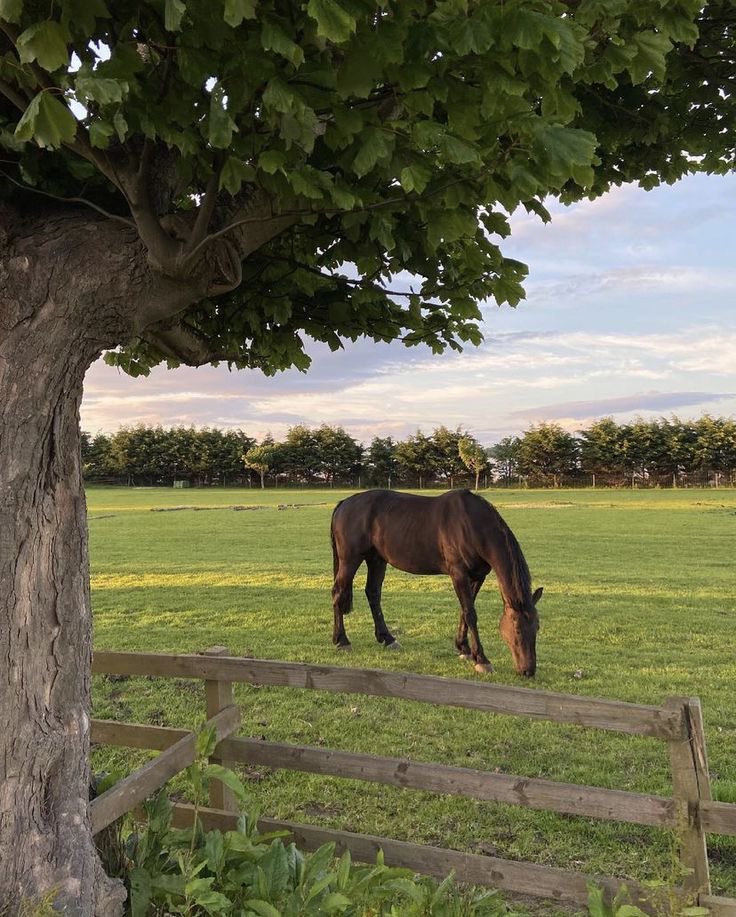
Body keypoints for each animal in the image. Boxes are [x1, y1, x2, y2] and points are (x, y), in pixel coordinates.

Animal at [330, 489, 542, 677]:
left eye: (537, 628)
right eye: (517, 629)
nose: (528, 671)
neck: (472, 524)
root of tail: (344, 503)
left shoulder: (476, 576)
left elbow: (465, 611)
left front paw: (464, 648)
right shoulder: (458, 574)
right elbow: (470, 613)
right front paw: (481, 659)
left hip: (376, 559)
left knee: (373, 593)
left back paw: (388, 638)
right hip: (350, 559)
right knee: (338, 592)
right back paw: (342, 641)